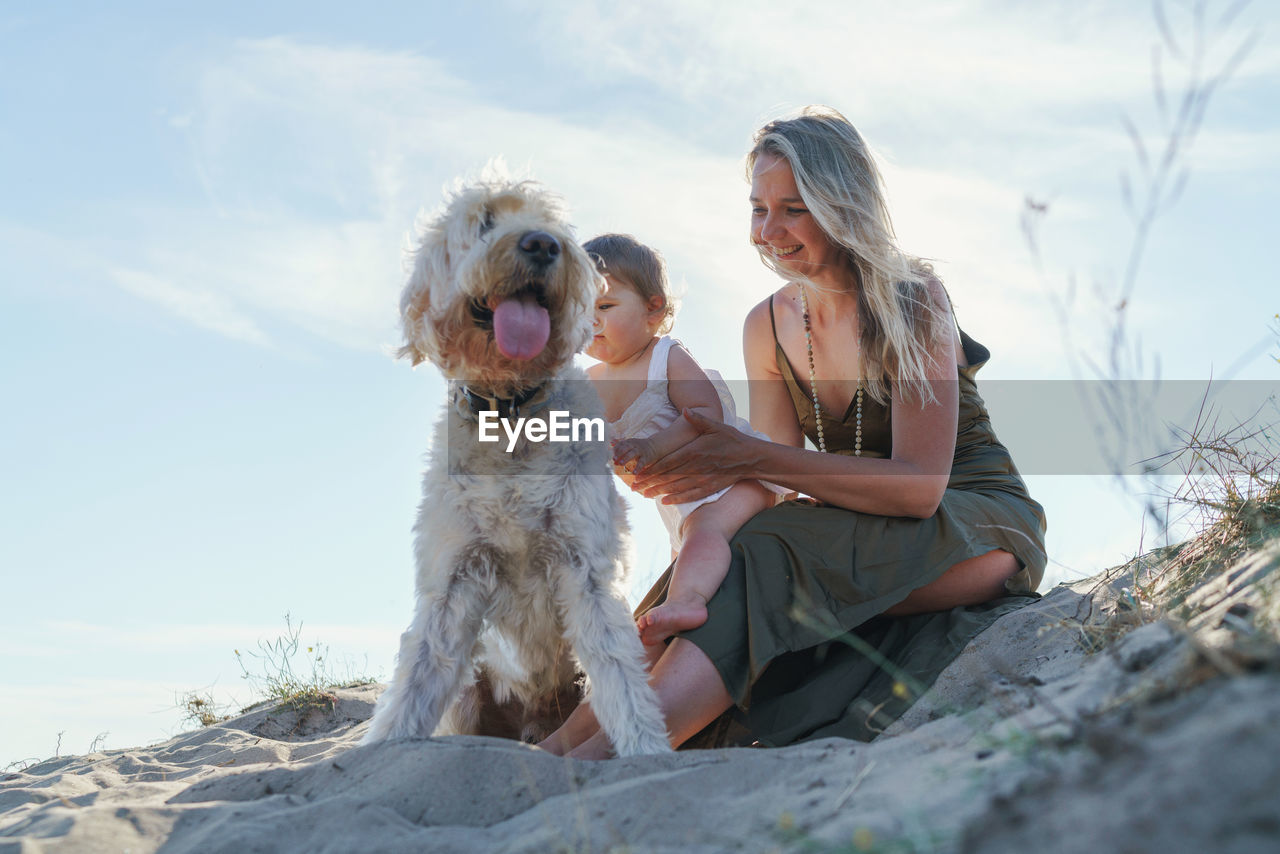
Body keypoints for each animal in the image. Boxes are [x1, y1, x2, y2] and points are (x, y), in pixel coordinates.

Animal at [360, 171, 670, 752]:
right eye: (483, 221)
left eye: (550, 222)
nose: (543, 244)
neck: (510, 415)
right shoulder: (452, 578)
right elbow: (415, 680)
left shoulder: (585, 569)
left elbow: (620, 676)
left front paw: (648, 752)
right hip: (470, 688)